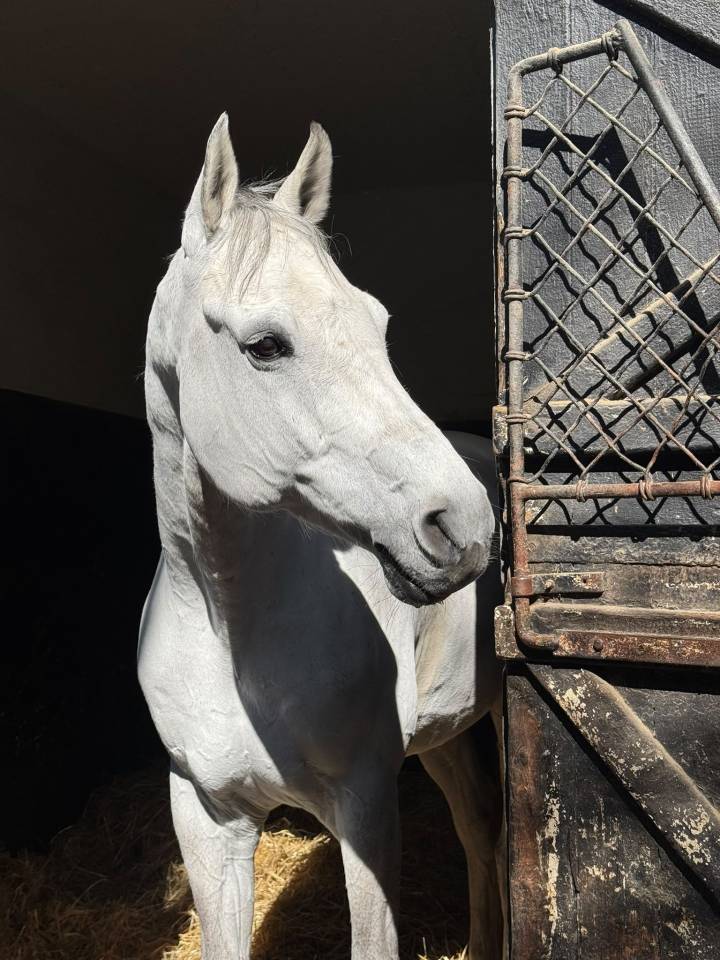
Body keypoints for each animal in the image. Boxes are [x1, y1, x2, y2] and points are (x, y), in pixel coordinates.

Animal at [138, 115, 503, 960]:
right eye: (266, 345)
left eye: (378, 324)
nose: (464, 527)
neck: (230, 628)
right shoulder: (209, 822)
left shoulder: (366, 810)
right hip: (442, 737)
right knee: (477, 829)